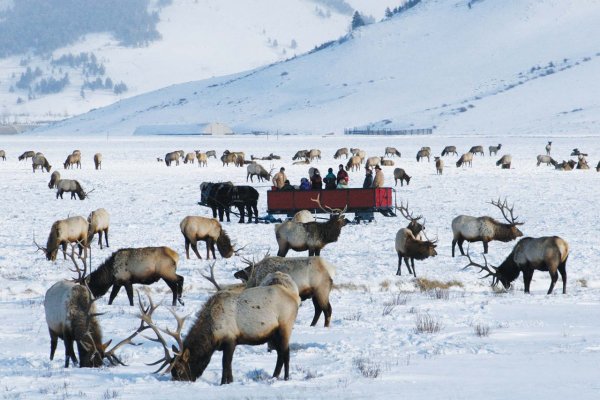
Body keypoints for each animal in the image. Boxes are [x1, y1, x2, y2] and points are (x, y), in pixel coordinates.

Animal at [139, 268, 300, 384]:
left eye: (178, 369)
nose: (180, 382)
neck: (212, 335)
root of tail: (294, 296)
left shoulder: (230, 339)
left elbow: (226, 363)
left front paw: (224, 382)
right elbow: (228, 364)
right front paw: (230, 381)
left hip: (285, 326)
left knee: (285, 353)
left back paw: (284, 378)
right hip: (274, 333)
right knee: (280, 353)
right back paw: (275, 376)